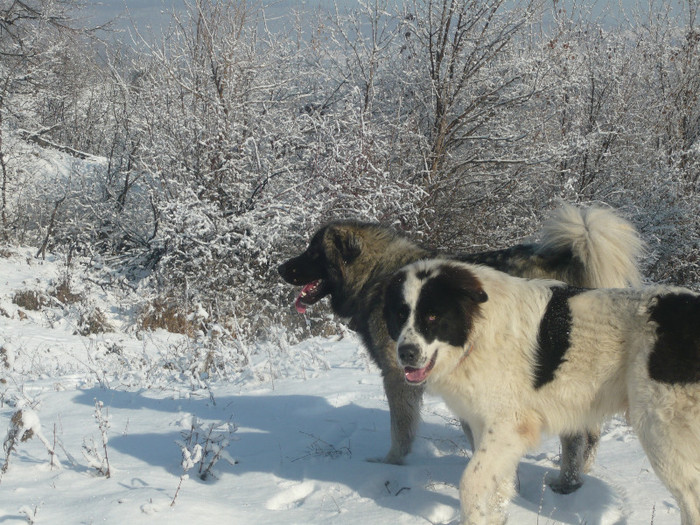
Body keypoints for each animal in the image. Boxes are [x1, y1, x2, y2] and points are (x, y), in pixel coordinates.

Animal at [386, 260, 696, 524]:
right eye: (400, 315)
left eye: (432, 316)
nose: (406, 353)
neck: (477, 330)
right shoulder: (488, 427)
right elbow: (497, 490)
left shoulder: (507, 426)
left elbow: (471, 482)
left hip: (662, 434)